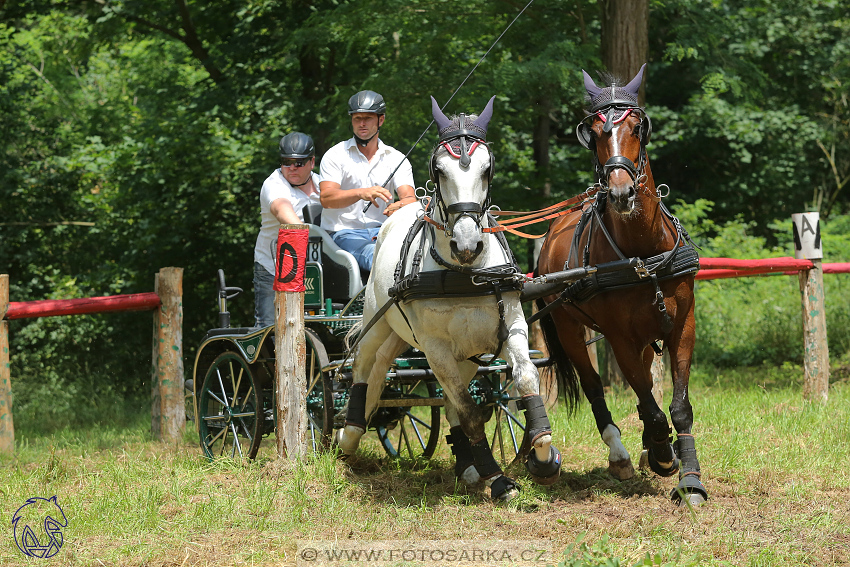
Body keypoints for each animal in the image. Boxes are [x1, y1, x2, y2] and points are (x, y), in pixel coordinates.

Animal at [338, 97, 564, 502]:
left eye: (487, 168)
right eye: (439, 170)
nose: (467, 243)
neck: (465, 273)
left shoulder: (512, 328)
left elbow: (523, 381)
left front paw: (542, 457)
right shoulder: (435, 348)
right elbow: (472, 412)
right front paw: (499, 478)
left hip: (465, 354)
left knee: (441, 395)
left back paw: (467, 465)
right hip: (380, 324)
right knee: (366, 368)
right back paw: (349, 437)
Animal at [532, 66, 704, 506]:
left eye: (636, 127)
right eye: (593, 132)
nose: (621, 192)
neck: (643, 254)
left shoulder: (683, 326)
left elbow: (677, 406)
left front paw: (689, 477)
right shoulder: (620, 338)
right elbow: (652, 407)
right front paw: (663, 454)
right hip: (570, 330)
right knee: (595, 389)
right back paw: (622, 455)